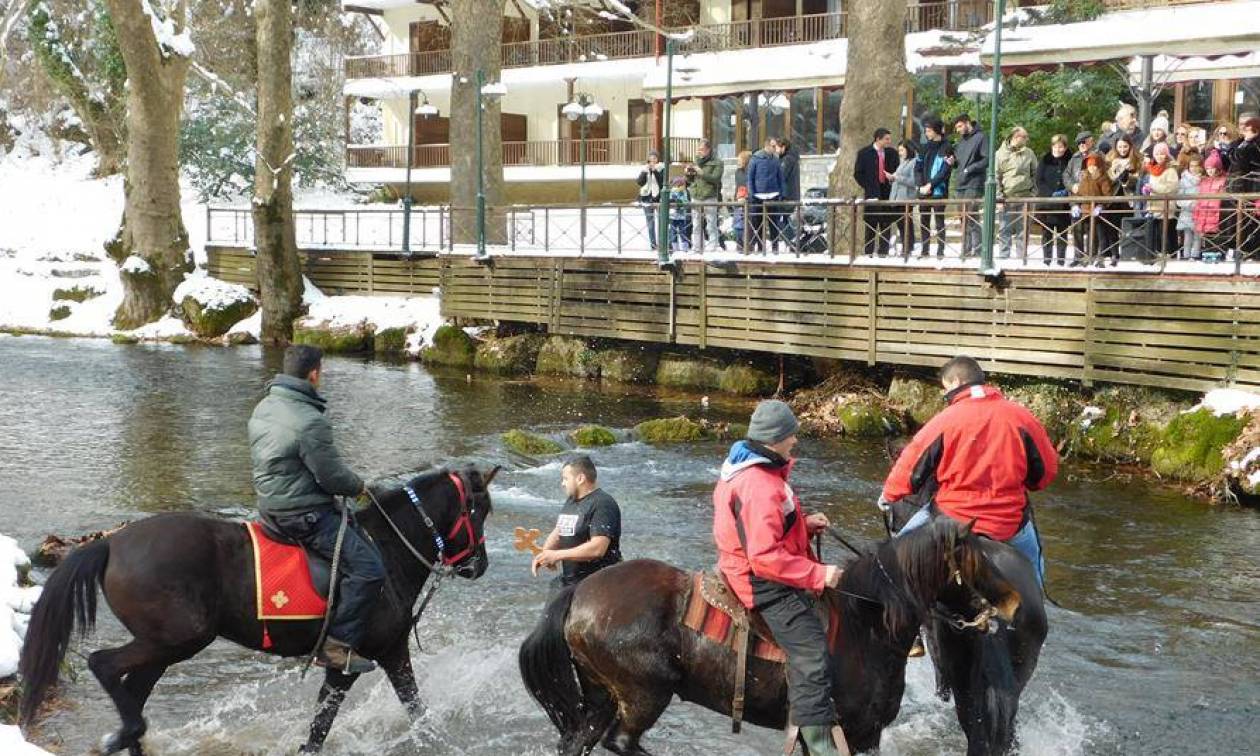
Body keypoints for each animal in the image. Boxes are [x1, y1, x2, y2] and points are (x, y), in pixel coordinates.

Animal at [17, 463, 496, 750]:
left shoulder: (384, 655)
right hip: (177, 639)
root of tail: (112, 544)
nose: (479, 566)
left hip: (165, 645)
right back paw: (126, 735)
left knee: (131, 690)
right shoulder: (358, 661)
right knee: (104, 665)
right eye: (480, 510)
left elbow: (405, 710)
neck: (388, 549)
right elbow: (331, 725)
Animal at [519, 516, 1023, 756]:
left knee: (578, 741)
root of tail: (579, 592)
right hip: (643, 694)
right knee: (622, 742)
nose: (1016, 604)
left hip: (601, 695)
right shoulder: (857, 732)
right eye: (977, 558)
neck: (866, 624)